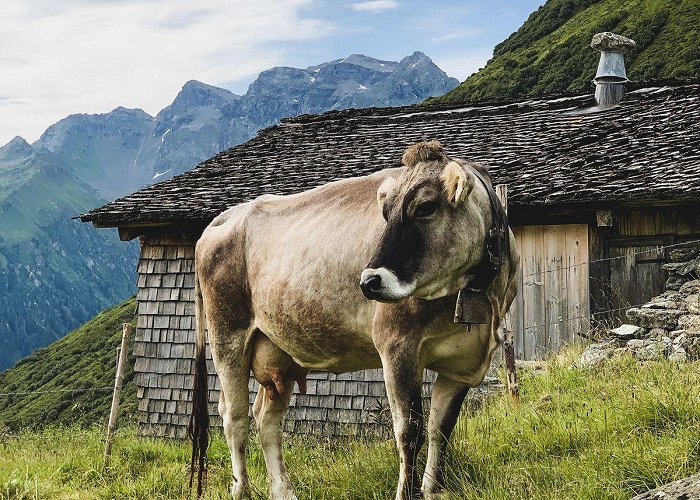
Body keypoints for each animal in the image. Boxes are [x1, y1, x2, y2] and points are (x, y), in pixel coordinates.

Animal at [189, 141, 516, 500]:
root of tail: (227, 215)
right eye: (386, 214)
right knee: (234, 417)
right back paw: (242, 489)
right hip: (227, 335)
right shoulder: (398, 348)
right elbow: (409, 430)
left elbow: (440, 429)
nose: (370, 281)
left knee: (266, 419)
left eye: (425, 208)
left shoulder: (462, 362)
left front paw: (432, 490)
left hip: (278, 351)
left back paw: (284, 492)